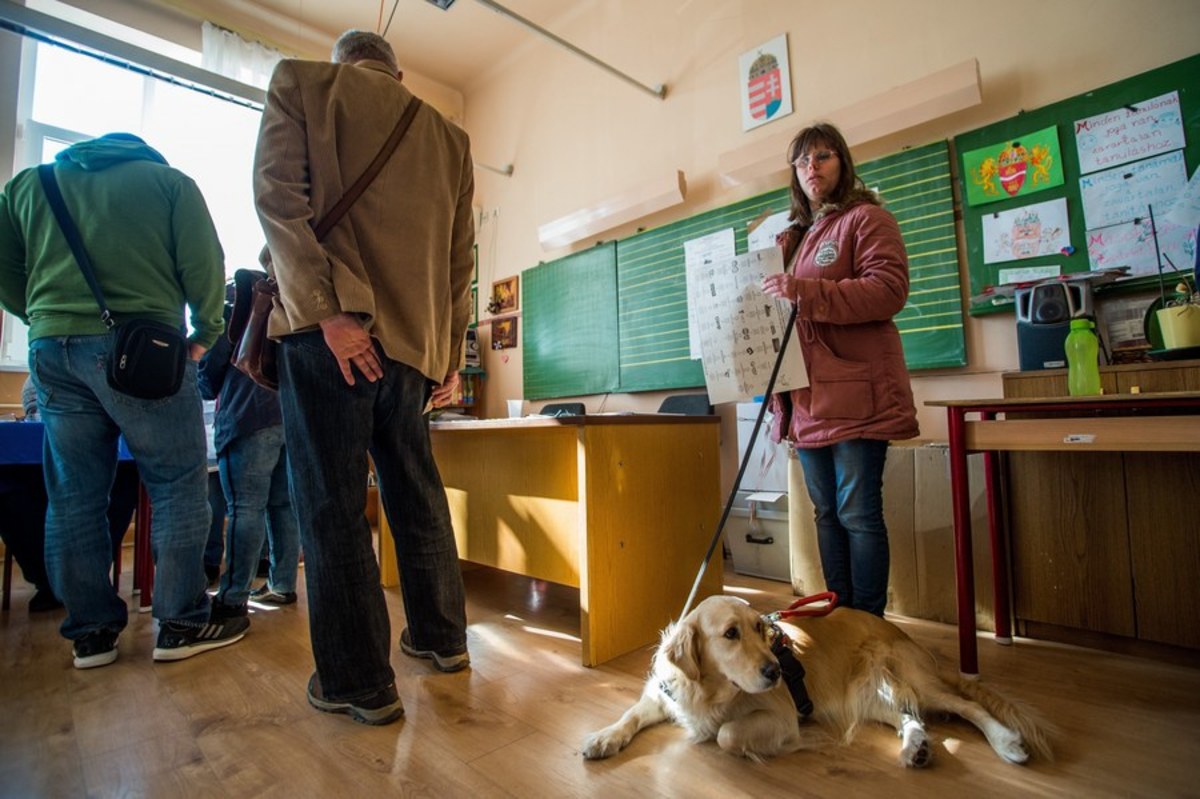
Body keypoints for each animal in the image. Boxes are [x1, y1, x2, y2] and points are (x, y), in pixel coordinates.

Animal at [580, 595, 1051, 763]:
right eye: (730, 633)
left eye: (760, 629)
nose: (774, 671)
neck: (711, 688)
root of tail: (901, 632)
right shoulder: (664, 695)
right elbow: (628, 715)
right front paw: (602, 738)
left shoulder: (780, 714)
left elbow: (727, 734)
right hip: (870, 694)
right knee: (909, 716)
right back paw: (915, 747)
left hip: (914, 678)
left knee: (968, 705)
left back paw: (1007, 743)